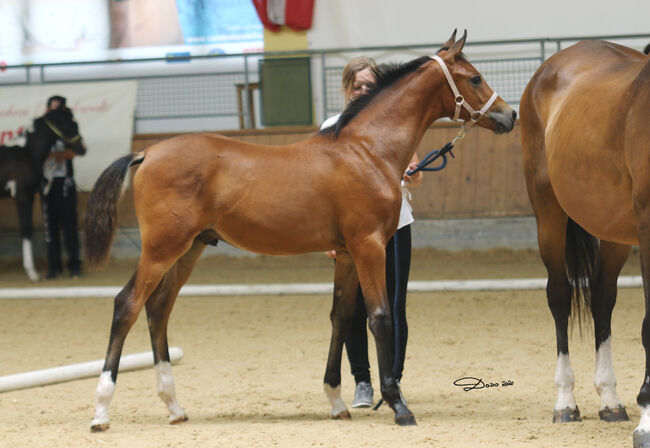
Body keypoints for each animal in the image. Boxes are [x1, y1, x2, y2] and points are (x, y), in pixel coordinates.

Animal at [0, 107, 85, 280]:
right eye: (70, 124)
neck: (27, 153)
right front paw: (32, 272)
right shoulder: (23, 196)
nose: (82, 148)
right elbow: (27, 229)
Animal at [83, 30, 512, 430]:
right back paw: (101, 411)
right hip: (161, 249)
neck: (367, 150)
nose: (510, 116)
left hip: (189, 249)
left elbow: (341, 317)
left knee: (158, 310)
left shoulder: (346, 254)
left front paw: (336, 402)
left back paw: (174, 407)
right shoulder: (369, 246)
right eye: (474, 78)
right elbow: (379, 317)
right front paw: (399, 407)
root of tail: (147, 152)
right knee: (127, 305)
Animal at [516, 40, 648, 446]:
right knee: (559, 296)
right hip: (549, 214)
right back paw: (565, 402)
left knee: (601, 298)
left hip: (614, 231)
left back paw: (610, 399)